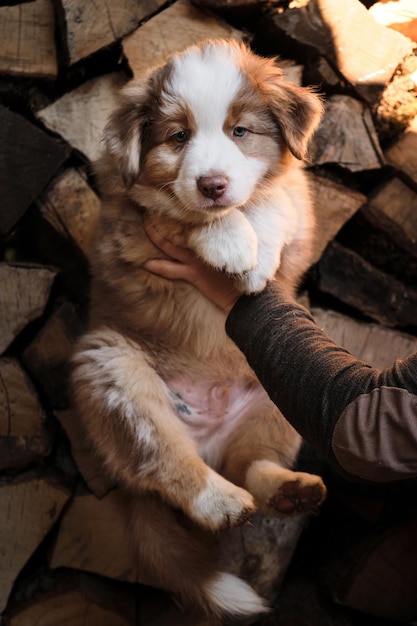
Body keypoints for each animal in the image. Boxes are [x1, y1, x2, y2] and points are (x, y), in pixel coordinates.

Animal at [70, 39, 324, 620]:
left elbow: (273, 203)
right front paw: (230, 241)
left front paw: (254, 256)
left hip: (279, 399)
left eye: (240, 131)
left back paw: (289, 489)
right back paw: (219, 500)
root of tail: (207, 436)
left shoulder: (300, 206)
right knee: (165, 460)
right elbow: (182, 212)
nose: (212, 184)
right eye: (178, 136)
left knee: (250, 463)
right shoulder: (130, 220)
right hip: (110, 366)